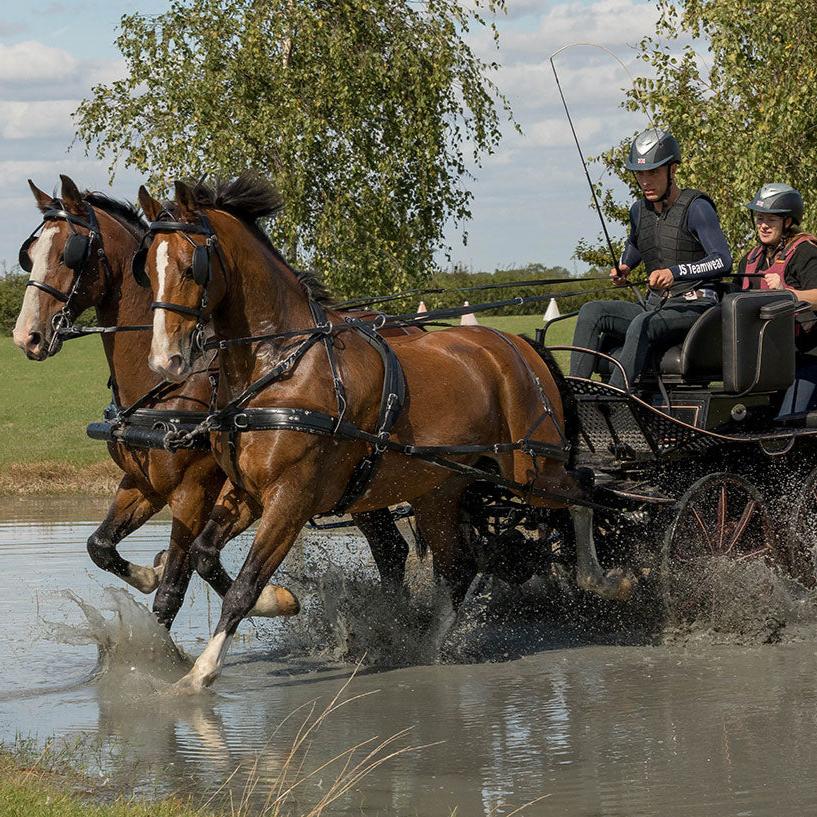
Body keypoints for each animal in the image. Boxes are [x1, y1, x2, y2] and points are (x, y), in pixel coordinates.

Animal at [13, 177, 414, 624]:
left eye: (69, 253)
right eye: (31, 255)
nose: (27, 336)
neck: (170, 386)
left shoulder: (194, 492)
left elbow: (174, 587)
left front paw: (263, 598)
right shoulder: (144, 483)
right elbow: (100, 546)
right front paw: (152, 572)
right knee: (391, 550)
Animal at [137, 175, 628, 692]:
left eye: (192, 267)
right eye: (147, 269)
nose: (165, 360)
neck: (283, 362)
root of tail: (520, 345)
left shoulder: (292, 496)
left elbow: (245, 586)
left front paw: (200, 674)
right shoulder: (248, 490)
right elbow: (204, 554)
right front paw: (279, 602)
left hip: (533, 469)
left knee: (583, 491)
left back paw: (603, 580)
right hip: (441, 488)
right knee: (459, 567)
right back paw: (428, 647)